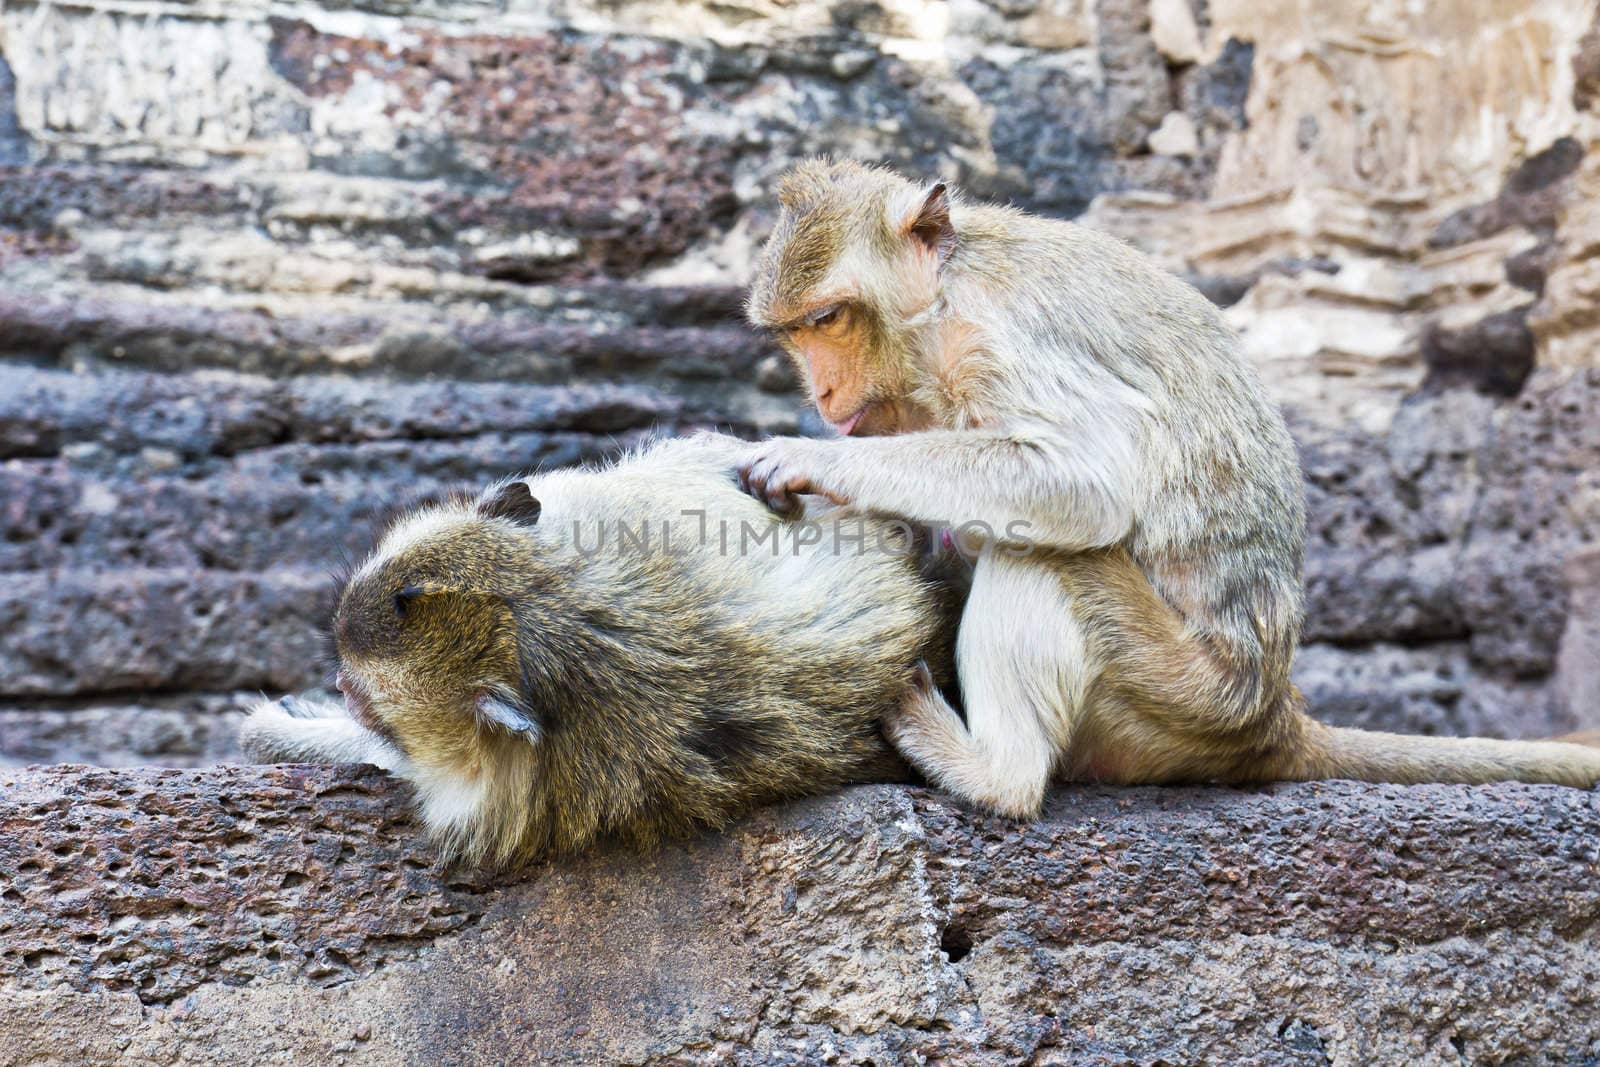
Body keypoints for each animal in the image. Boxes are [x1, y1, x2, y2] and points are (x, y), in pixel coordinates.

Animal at [736, 158, 1600, 812]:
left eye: (830, 319)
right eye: (794, 334)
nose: (822, 393)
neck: (942, 299)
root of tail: (1270, 710)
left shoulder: (996, 337)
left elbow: (1083, 483)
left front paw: (808, 460)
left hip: (1174, 694)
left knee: (1048, 551)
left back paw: (992, 773)